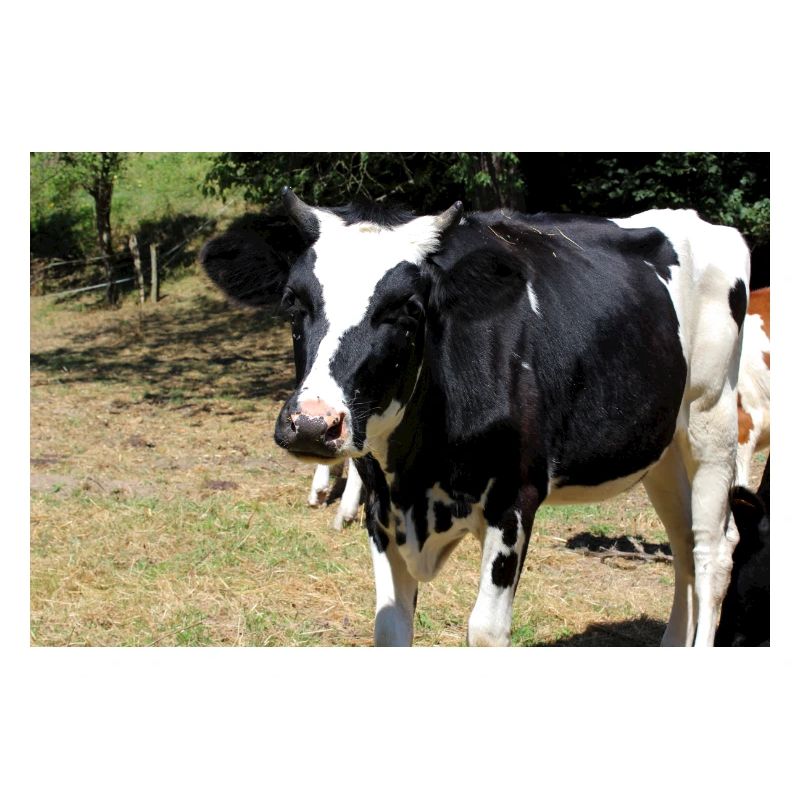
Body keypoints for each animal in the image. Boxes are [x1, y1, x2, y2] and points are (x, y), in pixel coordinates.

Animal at [200, 189, 751, 647]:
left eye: (409, 308)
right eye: (293, 302)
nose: (313, 424)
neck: (417, 474)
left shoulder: (515, 497)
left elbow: (485, 630)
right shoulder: (382, 507)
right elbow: (389, 626)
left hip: (711, 421)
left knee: (712, 549)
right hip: (661, 447)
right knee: (683, 543)